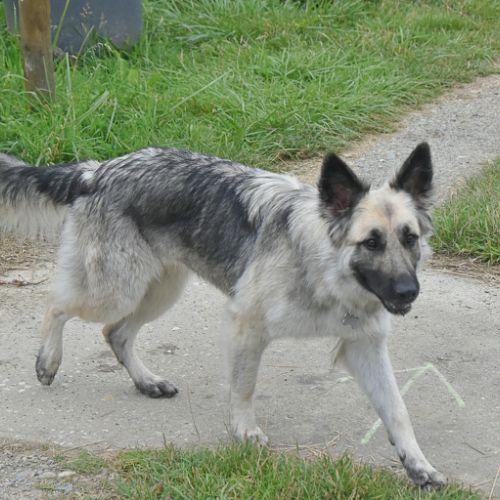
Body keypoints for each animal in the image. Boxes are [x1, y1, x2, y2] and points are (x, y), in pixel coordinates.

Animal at [0, 143, 446, 488]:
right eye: (371, 242)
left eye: (410, 239)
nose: (408, 292)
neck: (321, 263)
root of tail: (97, 170)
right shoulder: (245, 325)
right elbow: (244, 386)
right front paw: (245, 431)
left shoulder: (365, 346)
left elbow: (397, 409)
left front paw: (418, 464)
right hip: (116, 289)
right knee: (57, 304)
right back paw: (47, 361)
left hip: (159, 291)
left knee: (116, 333)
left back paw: (147, 382)